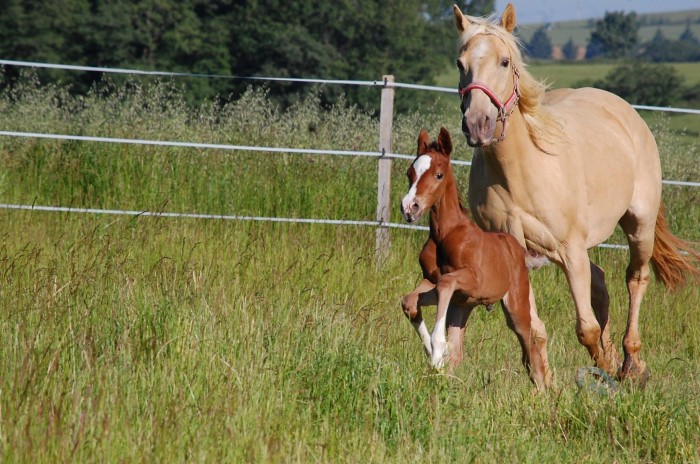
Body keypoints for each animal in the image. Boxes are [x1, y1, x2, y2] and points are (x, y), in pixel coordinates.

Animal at [400, 129, 552, 390]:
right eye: (411, 173)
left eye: (439, 174)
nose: (410, 207)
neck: (446, 234)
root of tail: (517, 250)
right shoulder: (435, 284)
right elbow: (410, 301)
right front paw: (434, 358)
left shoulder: (472, 280)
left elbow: (446, 283)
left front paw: (436, 354)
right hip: (461, 308)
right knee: (459, 351)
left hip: (515, 304)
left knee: (529, 341)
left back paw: (541, 389)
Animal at [452, 3, 696, 384]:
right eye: (460, 64)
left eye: (505, 62)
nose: (478, 125)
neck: (519, 173)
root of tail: (623, 110)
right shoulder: (518, 252)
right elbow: (526, 326)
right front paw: (543, 381)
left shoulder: (569, 248)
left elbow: (586, 328)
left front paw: (603, 367)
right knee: (599, 280)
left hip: (637, 225)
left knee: (635, 279)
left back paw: (631, 363)